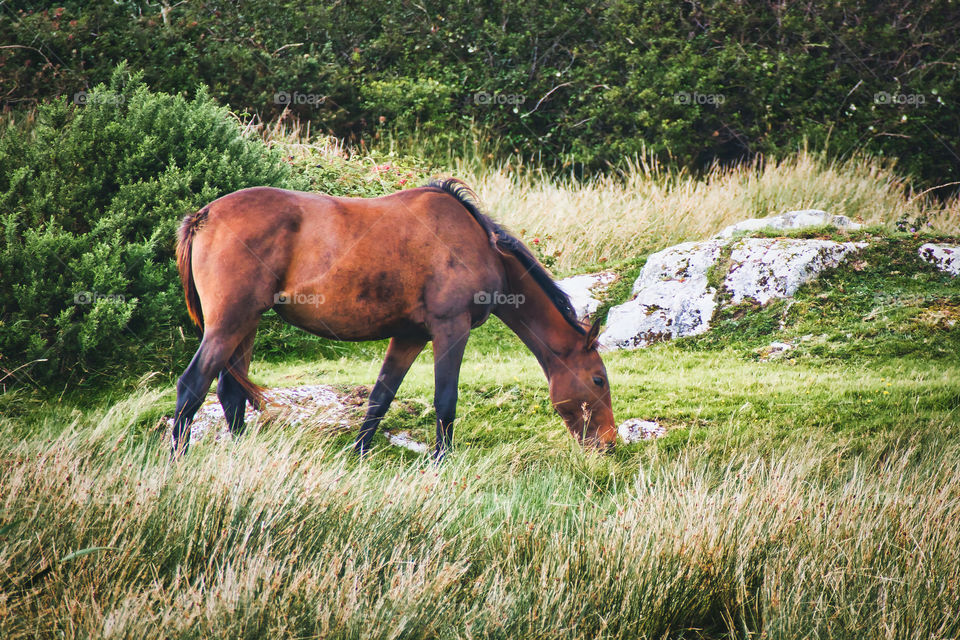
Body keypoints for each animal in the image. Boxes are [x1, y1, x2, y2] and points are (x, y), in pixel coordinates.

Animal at [174, 179, 616, 460]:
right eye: (598, 380)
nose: (610, 443)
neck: (478, 245)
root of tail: (205, 215)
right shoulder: (450, 328)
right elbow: (445, 399)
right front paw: (441, 460)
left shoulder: (409, 336)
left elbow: (380, 397)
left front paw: (359, 454)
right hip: (228, 325)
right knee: (191, 386)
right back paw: (178, 459)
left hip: (245, 326)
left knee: (230, 393)